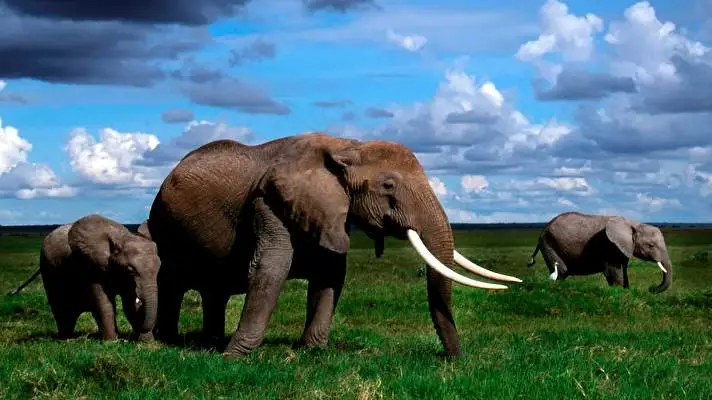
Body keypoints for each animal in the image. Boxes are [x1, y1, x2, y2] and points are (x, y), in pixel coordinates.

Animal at [8, 214, 161, 340]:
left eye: (159, 269)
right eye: (129, 270)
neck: (122, 237)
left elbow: (129, 304)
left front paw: (146, 343)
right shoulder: (91, 267)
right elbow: (104, 303)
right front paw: (112, 342)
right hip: (48, 268)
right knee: (61, 308)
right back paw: (66, 337)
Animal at [146, 132, 522, 359]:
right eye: (388, 185)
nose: (454, 359)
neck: (347, 146)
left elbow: (331, 274)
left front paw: (313, 352)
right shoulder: (271, 201)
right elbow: (270, 269)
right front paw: (235, 357)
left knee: (214, 290)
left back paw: (208, 342)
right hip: (163, 223)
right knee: (172, 281)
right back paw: (167, 341)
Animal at [527, 211, 672, 293]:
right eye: (651, 245)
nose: (651, 288)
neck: (634, 224)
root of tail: (544, 228)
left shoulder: (623, 247)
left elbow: (623, 270)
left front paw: (627, 290)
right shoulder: (610, 245)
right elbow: (613, 271)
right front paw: (619, 292)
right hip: (548, 243)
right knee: (562, 270)